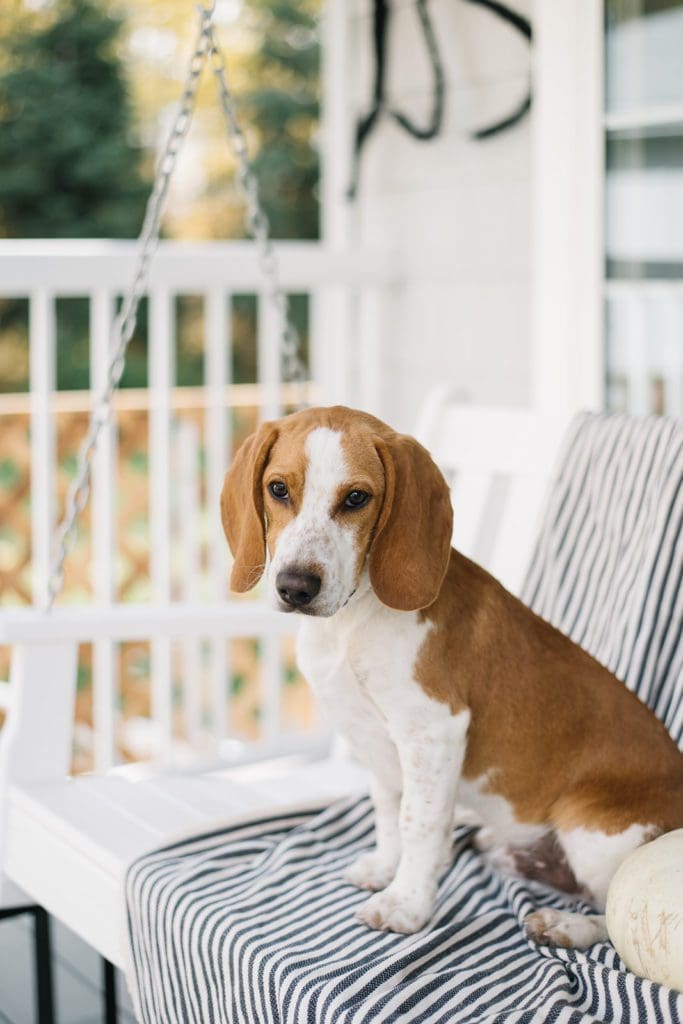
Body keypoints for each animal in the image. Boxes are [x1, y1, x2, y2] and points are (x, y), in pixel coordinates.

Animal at [223, 403, 683, 946]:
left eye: (356, 498)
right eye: (278, 489)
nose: (295, 587)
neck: (352, 622)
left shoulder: (432, 730)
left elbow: (418, 822)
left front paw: (406, 904)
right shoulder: (375, 740)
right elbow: (388, 812)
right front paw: (386, 868)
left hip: (593, 833)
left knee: (618, 917)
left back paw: (564, 925)